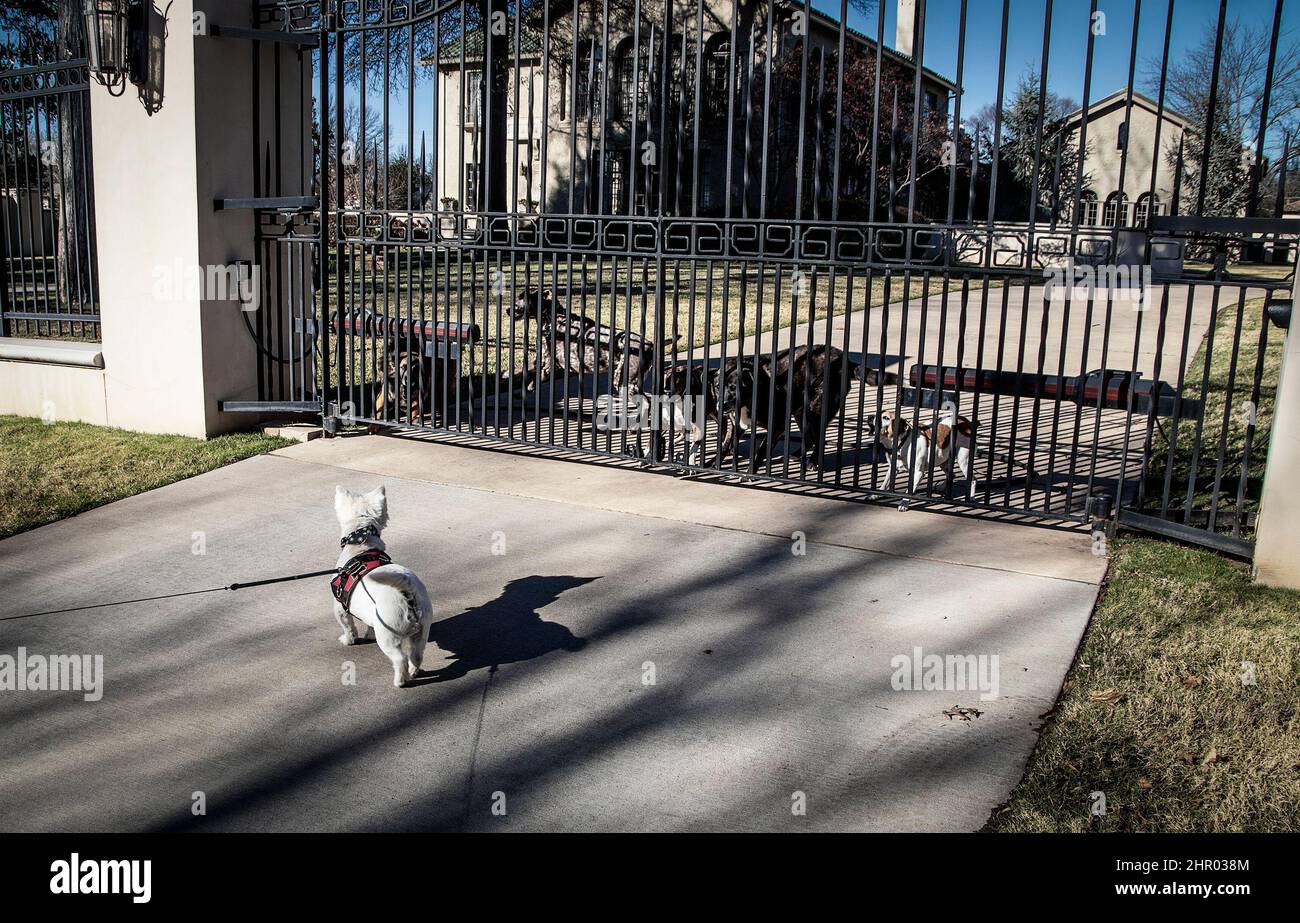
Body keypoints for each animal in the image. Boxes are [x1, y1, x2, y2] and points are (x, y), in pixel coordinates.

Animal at [332, 483, 434, 686]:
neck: (361, 546)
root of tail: (407, 591)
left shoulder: (340, 608)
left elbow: (348, 627)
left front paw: (348, 639)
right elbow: (368, 624)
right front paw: (367, 633)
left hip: (388, 635)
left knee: (400, 659)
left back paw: (400, 681)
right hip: (422, 630)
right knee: (416, 655)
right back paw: (414, 672)